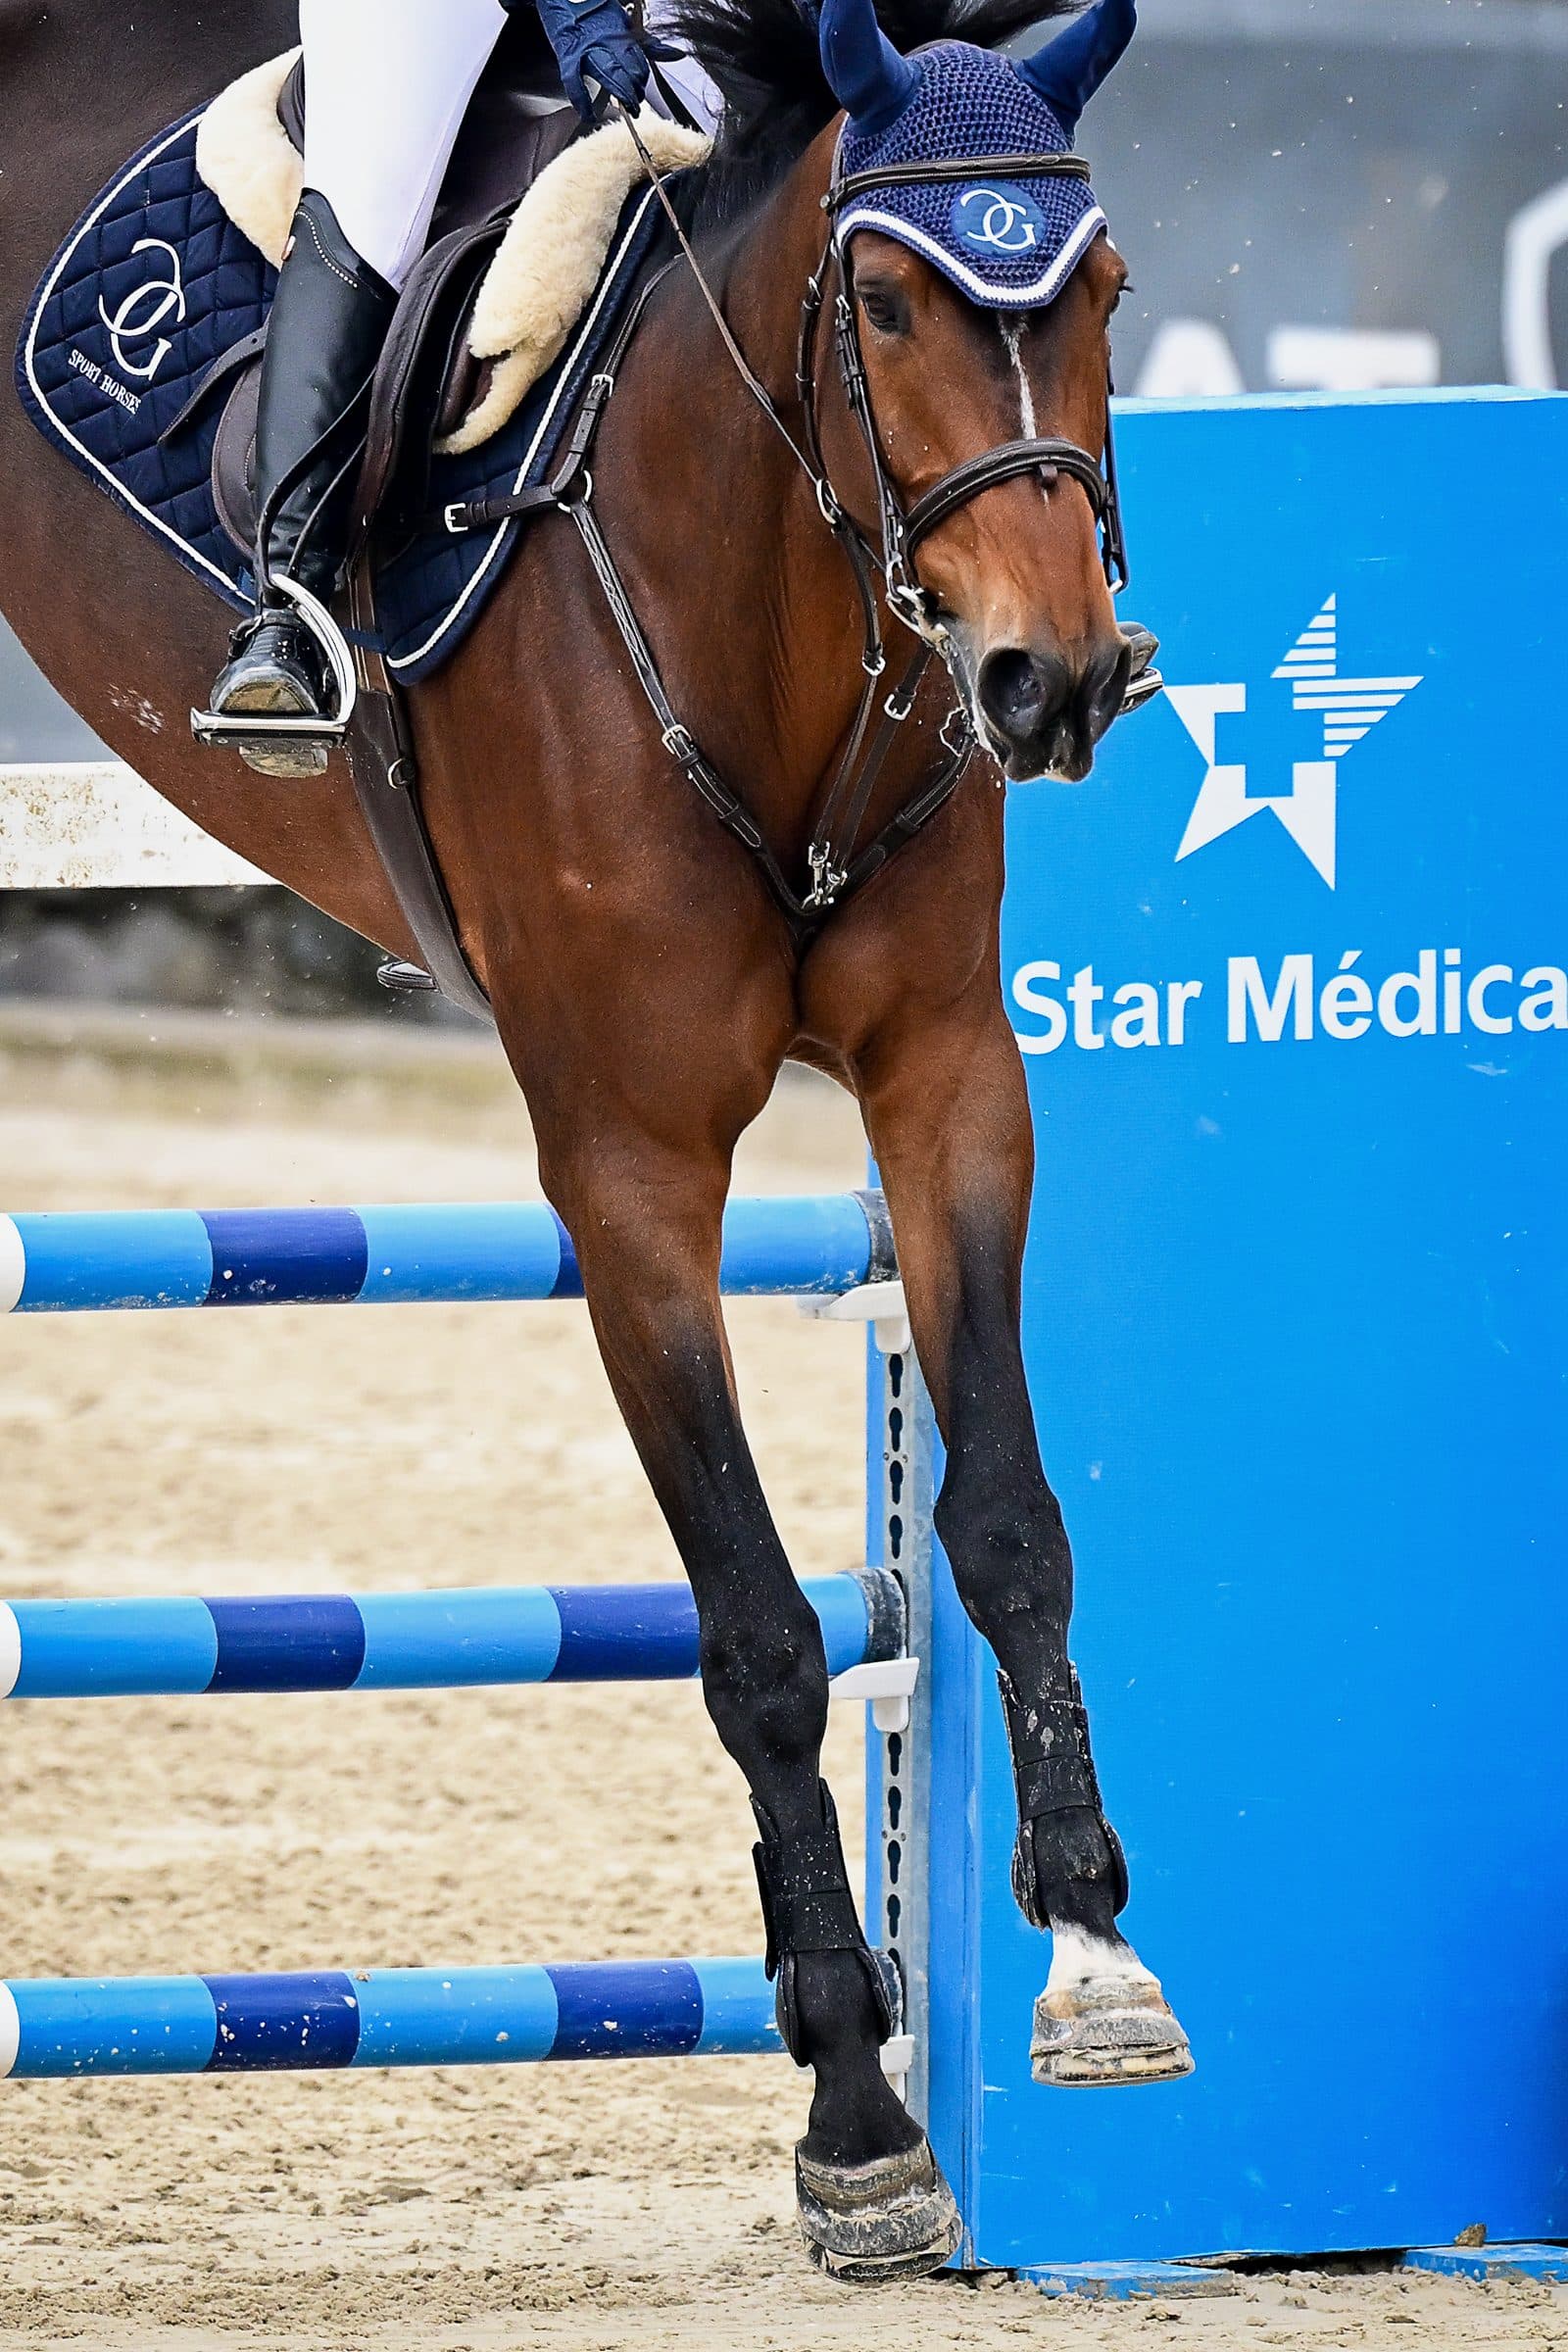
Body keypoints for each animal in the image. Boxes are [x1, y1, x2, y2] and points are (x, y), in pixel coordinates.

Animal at [0, 0, 1190, 2280]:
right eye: (884, 301)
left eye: (1097, 292)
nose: (1051, 679)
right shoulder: (628, 1169)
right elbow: (759, 1639)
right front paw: (857, 2122)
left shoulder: (944, 1086)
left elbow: (1004, 1521)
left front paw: (1093, 1960)